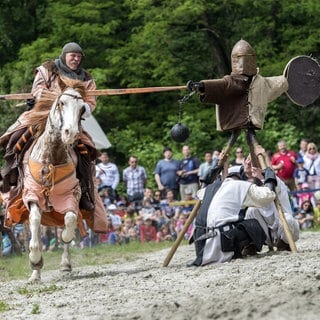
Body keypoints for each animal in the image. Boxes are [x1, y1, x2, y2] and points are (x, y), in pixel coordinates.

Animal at [21, 80, 87, 282]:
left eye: (82, 109)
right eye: (62, 103)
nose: (70, 133)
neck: (51, 159)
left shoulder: (71, 194)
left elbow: (70, 220)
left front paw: (66, 238)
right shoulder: (33, 194)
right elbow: (35, 221)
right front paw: (35, 261)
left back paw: (65, 265)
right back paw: (35, 275)